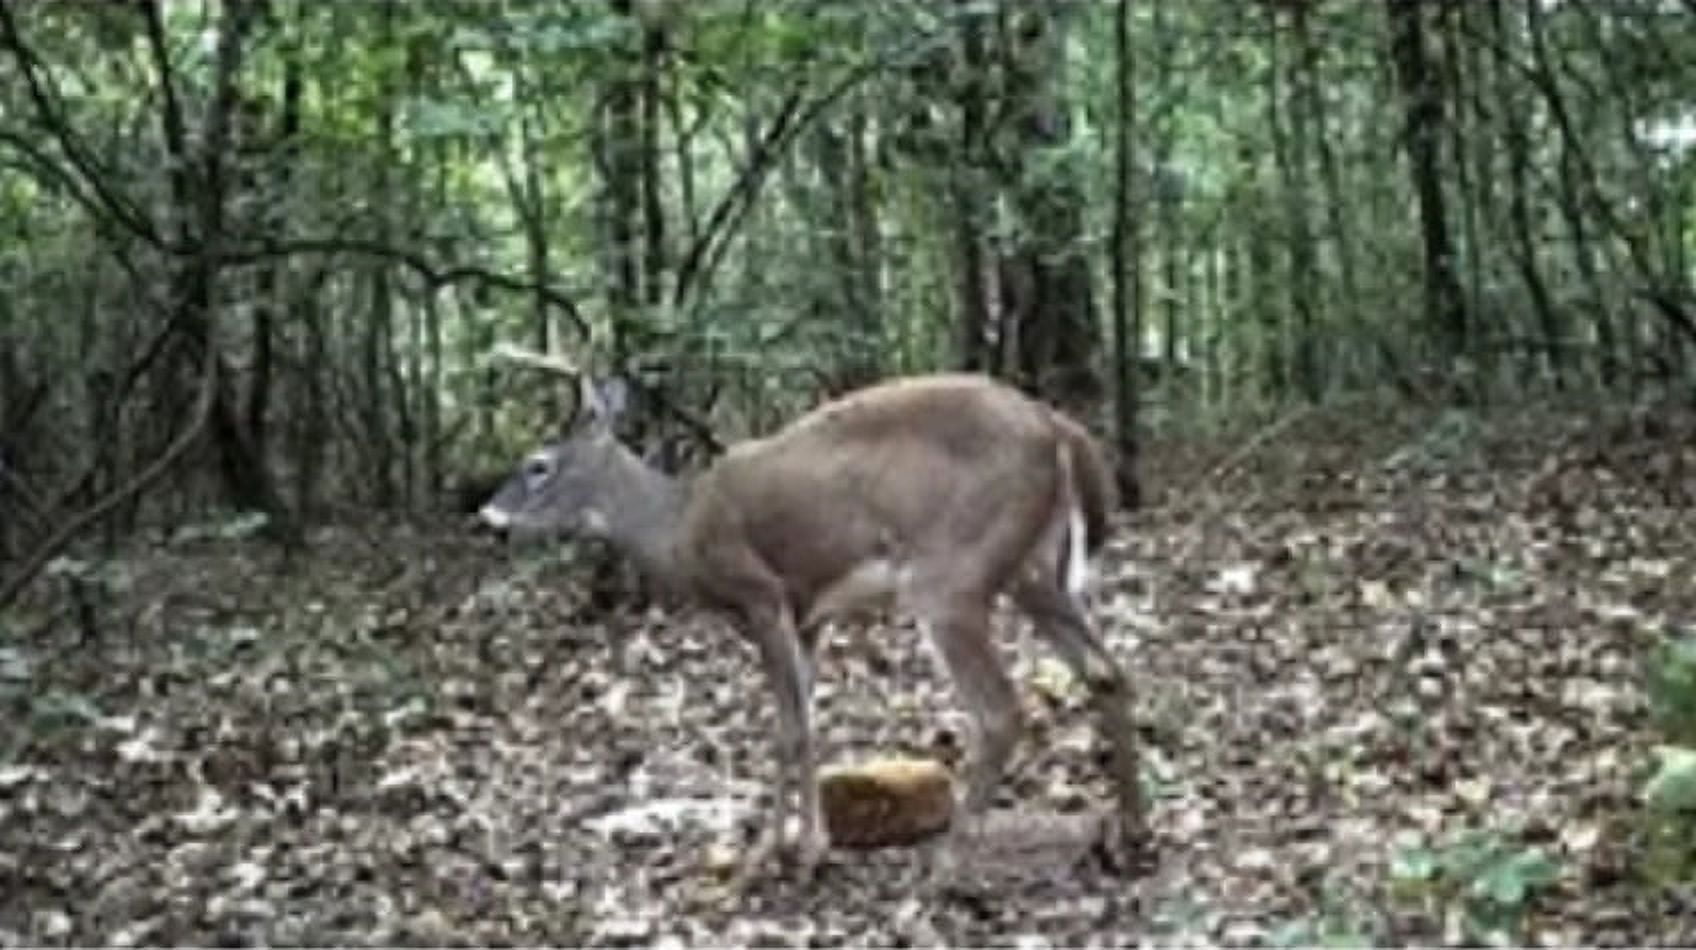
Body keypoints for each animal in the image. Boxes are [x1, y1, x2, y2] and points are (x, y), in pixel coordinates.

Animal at [476, 344, 1149, 886]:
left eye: (538, 464)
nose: (488, 517)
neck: (678, 530)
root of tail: (1059, 430)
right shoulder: (810, 614)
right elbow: (810, 723)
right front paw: (813, 847)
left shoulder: (760, 593)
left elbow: (786, 731)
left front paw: (770, 859)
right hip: (1035, 571)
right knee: (1108, 672)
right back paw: (1132, 835)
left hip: (952, 575)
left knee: (1000, 711)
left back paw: (946, 866)